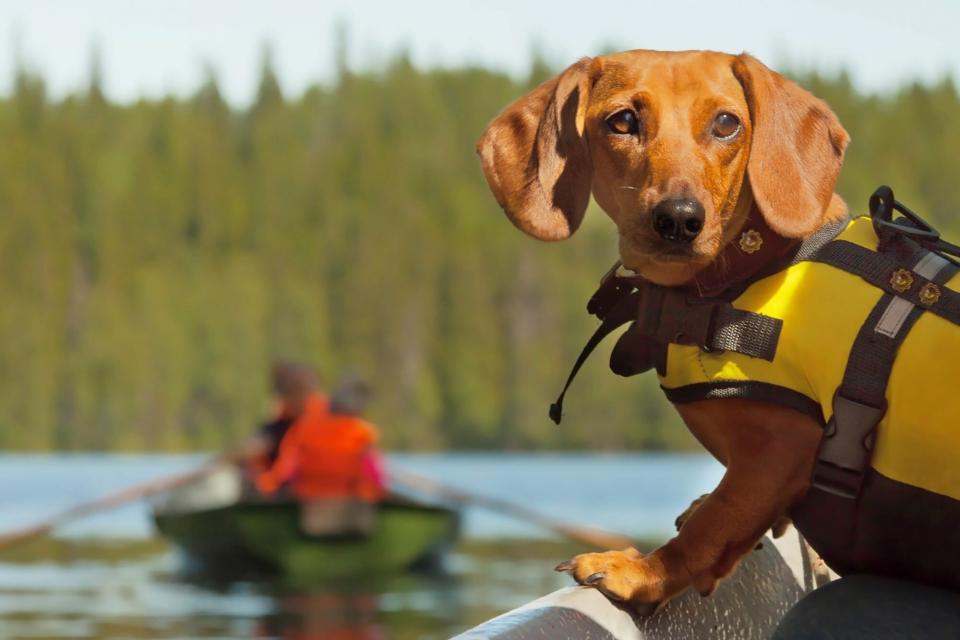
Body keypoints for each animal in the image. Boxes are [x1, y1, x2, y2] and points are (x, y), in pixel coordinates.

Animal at [476, 48, 852, 604]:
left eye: (726, 123)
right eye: (622, 121)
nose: (678, 220)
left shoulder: (782, 450)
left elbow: (712, 526)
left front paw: (639, 570)